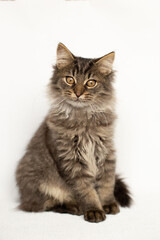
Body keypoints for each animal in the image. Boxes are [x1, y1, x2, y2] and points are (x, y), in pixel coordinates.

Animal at [15, 42, 132, 223]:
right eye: (70, 79)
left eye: (91, 83)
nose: (78, 93)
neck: (83, 119)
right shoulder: (70, 159)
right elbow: (86, 190)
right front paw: (94, 209)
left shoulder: (106, 152)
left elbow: (107, 183)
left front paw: (107, 203)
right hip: (37, 180)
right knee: (46, 204)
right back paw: (74, 207)